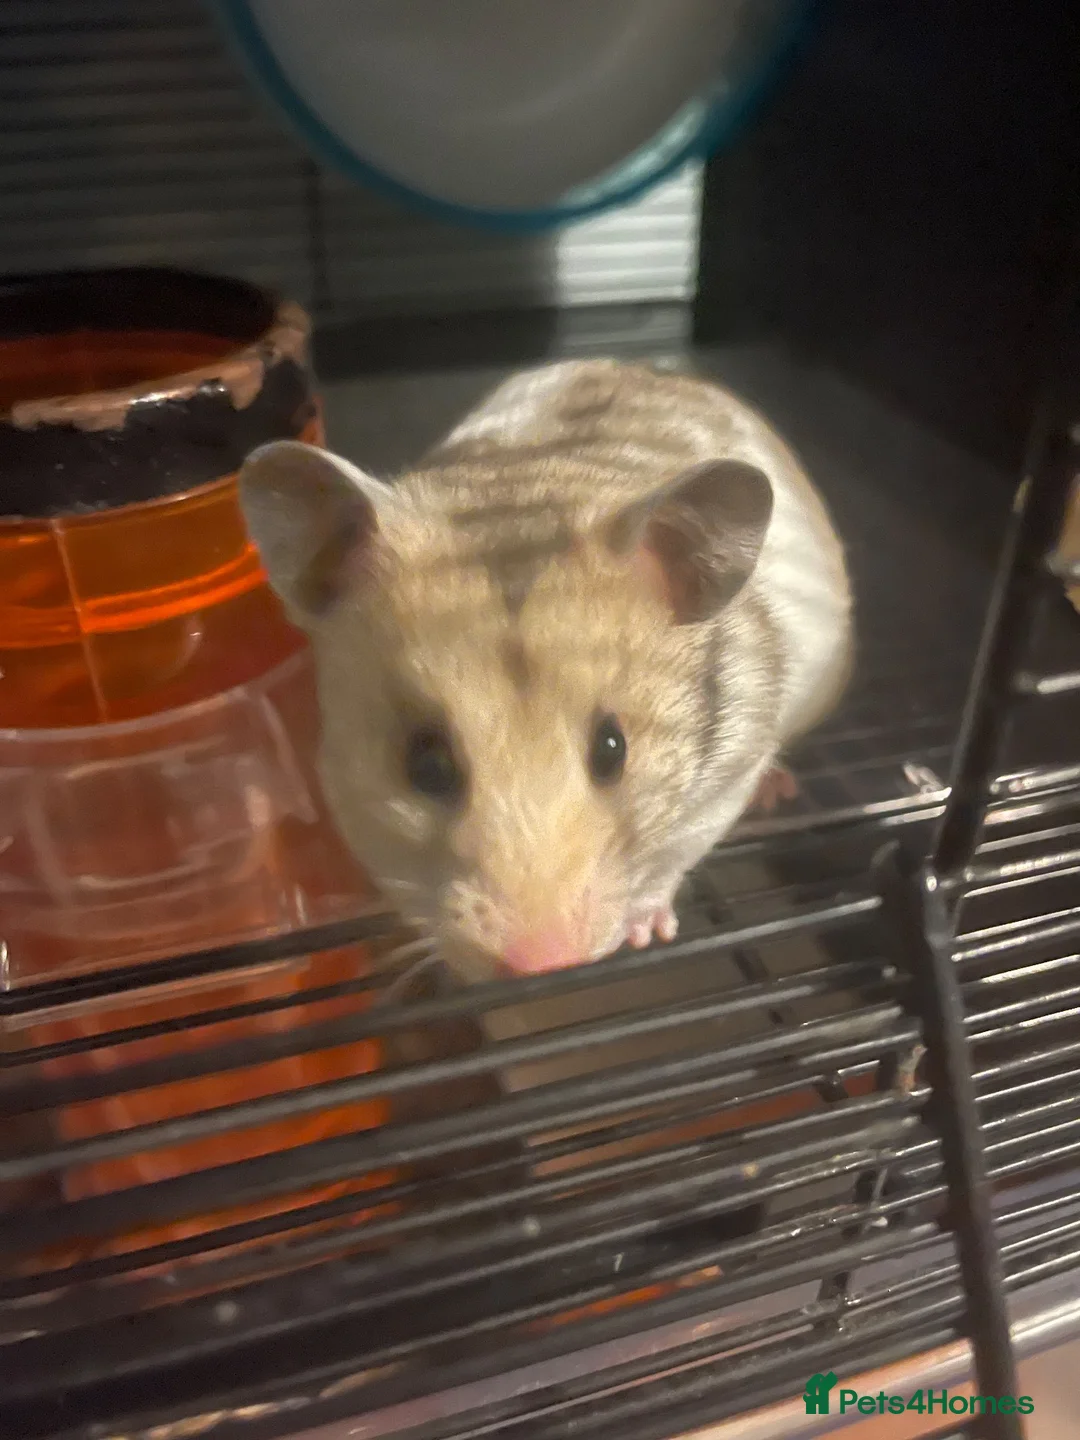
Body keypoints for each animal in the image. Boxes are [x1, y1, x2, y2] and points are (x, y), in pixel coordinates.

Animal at [238, 359, 852, 983]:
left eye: (613, 749)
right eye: (426, 765)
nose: (546, 965)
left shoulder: (733, 761)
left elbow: (673, 856)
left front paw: (646, 929)